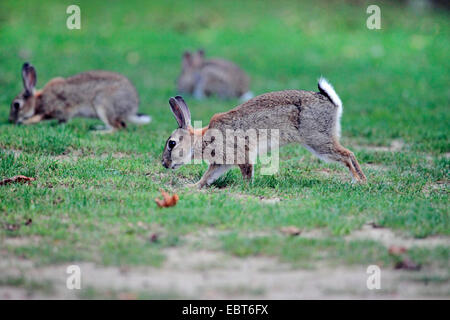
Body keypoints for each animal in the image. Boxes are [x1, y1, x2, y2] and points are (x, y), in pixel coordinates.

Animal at [9, 62, 151, 132]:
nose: (10, 120)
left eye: (16, 105)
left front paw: (26, 122)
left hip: (103, 105)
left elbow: (41, 117)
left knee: (118, 127)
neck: (38, 100)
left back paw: (98, 132)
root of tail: (132, 109)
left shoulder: (57, 108)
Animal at [162, 77, 366, 188]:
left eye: (172, 143)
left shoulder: (241, 153)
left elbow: (246, 172)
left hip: (318, 140)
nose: (164, 164)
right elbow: (208, 176)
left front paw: (245, 187)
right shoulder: (221, 162)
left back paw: (359, 181)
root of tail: (330, 101)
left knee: (348, 155)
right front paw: (193, 186)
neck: (202, 139)